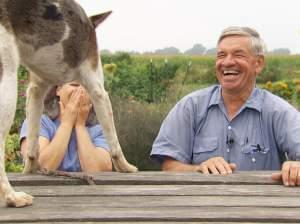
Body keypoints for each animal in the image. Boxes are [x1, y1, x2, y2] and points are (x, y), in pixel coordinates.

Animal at [0, 0, 138, 208]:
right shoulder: (98, 90)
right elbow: (114, 142)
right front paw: (126, 167)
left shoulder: (35, 90)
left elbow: (32, 146)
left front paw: (31, 170)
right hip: (7, 77)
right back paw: (12, 196)